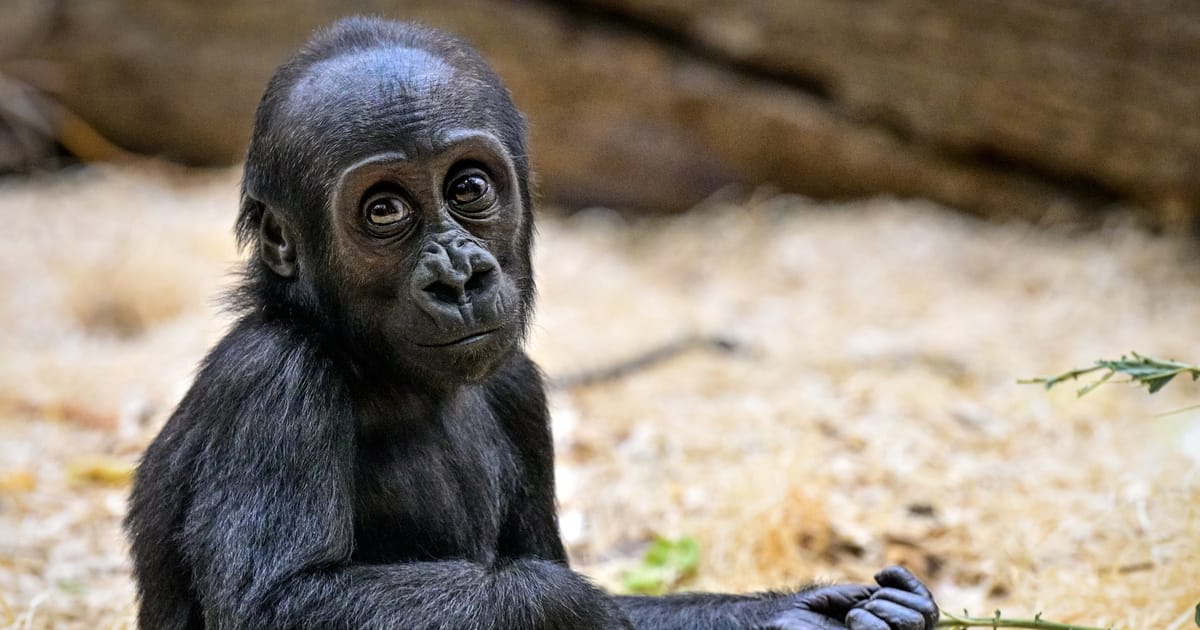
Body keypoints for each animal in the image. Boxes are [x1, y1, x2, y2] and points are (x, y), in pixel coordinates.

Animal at [126, 15, 940, 628]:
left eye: (468, 187)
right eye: (383, 210)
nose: (459, 276)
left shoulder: (519, 388)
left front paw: (793, 611)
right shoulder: (272, 382)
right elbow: (282, 602)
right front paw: (571, 607)